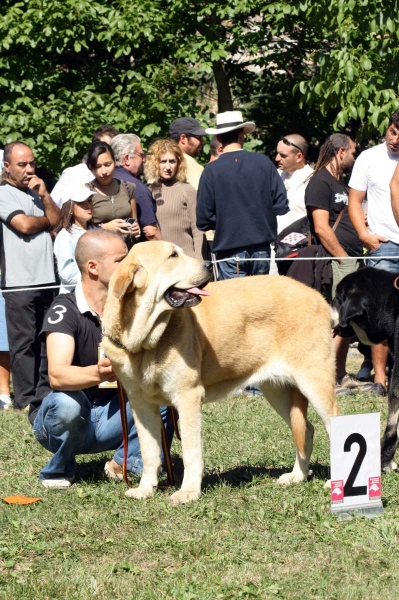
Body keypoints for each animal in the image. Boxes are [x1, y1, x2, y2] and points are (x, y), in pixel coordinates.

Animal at [101, 241, 340, 504]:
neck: (145, 344)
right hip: (277, 390)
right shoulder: (141, 405)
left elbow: (191, 452)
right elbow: (149, 452)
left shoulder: (188, 397)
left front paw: (188, 491)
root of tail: (318, 296)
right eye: (173, 256)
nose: (208, 264)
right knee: (305, 429)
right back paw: (297, 476)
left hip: (314, 381)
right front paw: (145, 489)